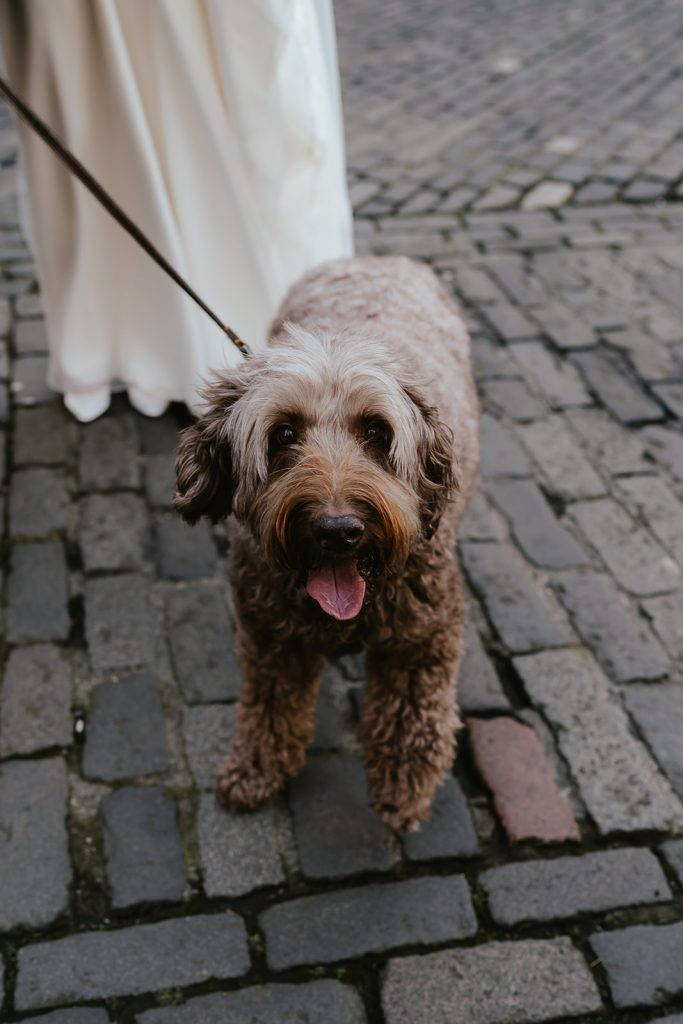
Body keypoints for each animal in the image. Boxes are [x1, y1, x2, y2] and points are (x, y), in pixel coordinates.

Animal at [174, 253, 479, 831]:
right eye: (283, 435)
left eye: (377, 432)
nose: (339, 531)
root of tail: (372, 259)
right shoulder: (272, 639)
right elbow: (271, 706)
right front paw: (257, 767)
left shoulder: (421, 641)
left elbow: (412, 718)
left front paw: (402, 790)